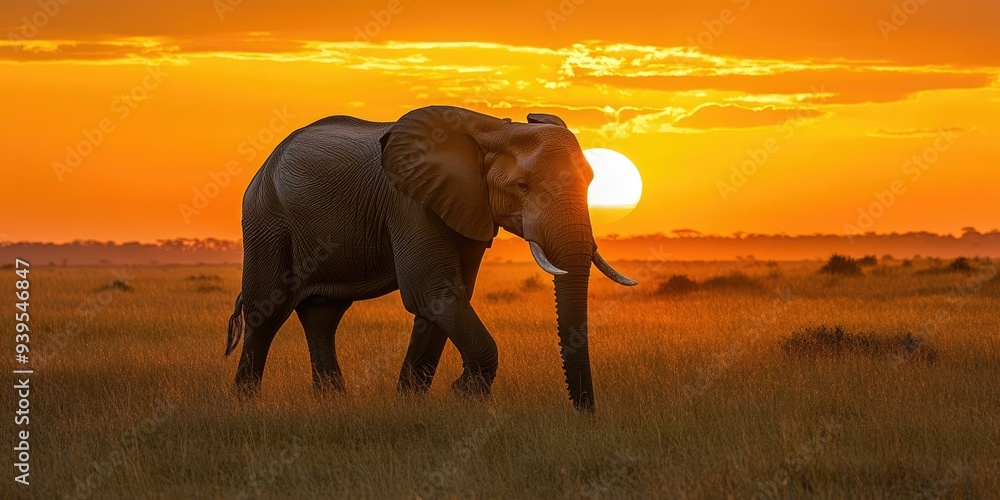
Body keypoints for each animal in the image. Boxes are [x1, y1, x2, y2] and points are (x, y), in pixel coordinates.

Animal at [224, 105, 636, 411]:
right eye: (522, 187)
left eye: (591, 181)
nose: (586, 415)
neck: (493, 130)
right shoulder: (409, 203)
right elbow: (435, 293)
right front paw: (463, 396)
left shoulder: (466, 205)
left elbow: (446, 299)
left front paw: (410, 403)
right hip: (267, 218)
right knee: (267, 310)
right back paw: (246, 403)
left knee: (323, 316)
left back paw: (331, 403)